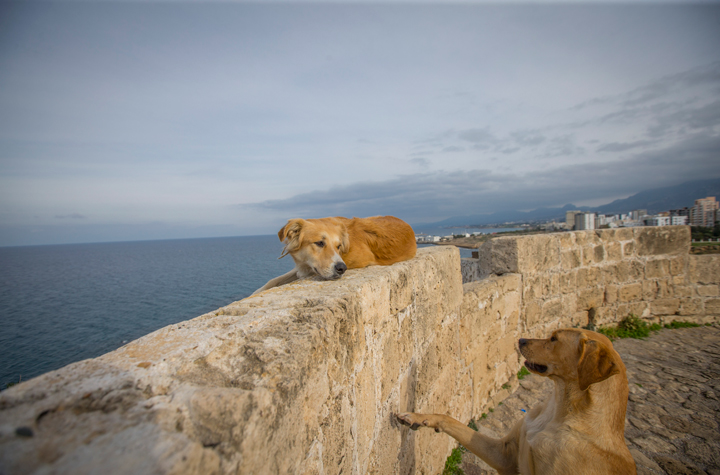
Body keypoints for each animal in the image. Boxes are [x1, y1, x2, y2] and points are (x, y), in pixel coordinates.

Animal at [396, 330, 640, 475]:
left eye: (554, 339)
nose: (521, 340)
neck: (557, 412)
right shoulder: (505, 455)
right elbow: (450, 420)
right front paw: (417, 417)